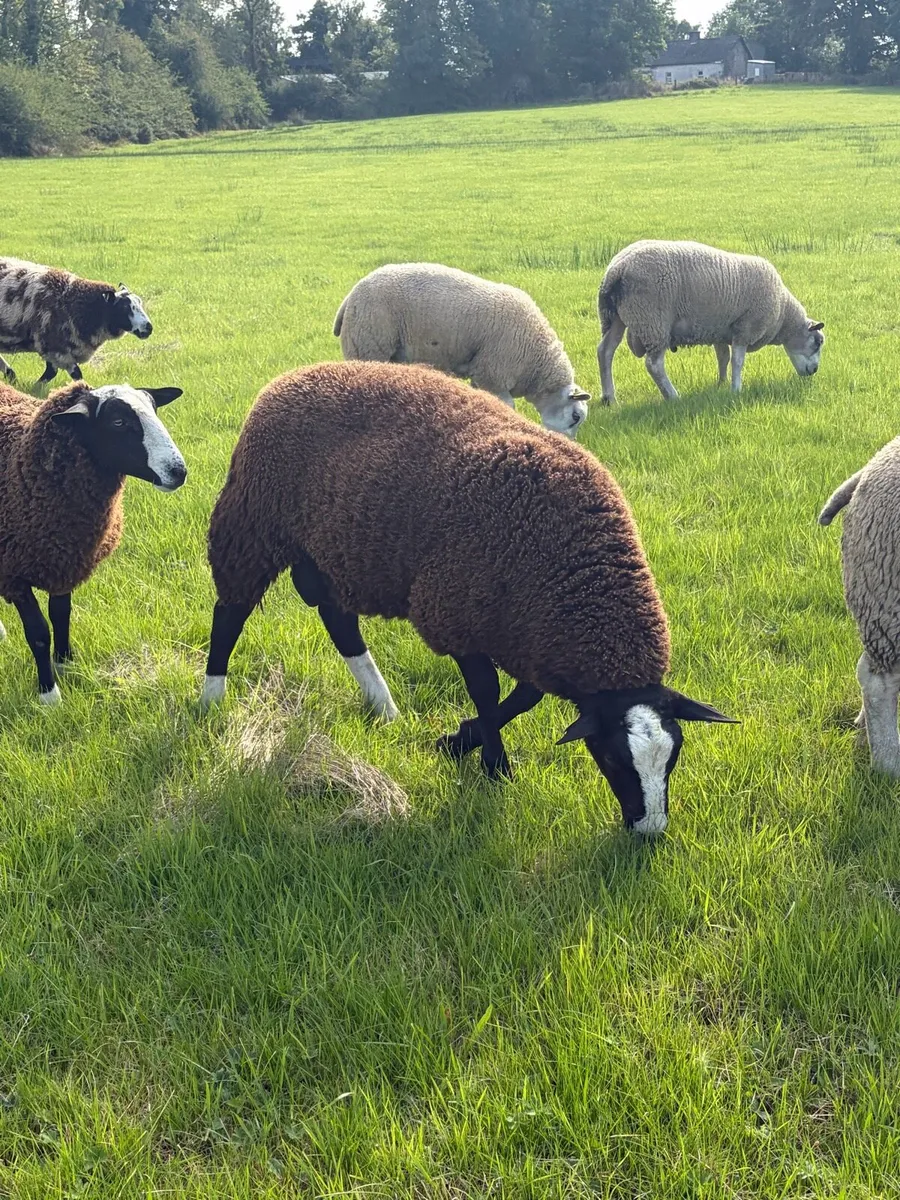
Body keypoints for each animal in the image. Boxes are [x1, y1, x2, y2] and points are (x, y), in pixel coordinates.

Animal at [0, 257, 153, 386]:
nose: (149, 327)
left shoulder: (55, 349)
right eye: (125, 307)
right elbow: (73, 374)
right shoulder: (56, 348)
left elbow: (51, 373)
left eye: (139, 302)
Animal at [0, 379, 186, 704]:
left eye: (154, 408)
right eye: (118, 422)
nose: (179, 472)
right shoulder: (15, 575)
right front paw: (49, 695)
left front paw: (65, 664)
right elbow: (38, 633)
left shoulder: (64, 560)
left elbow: (61, 615)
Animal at [200, 361, 735, 835]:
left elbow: (525, 696)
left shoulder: (526, 631)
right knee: (230, 614)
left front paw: (459, 741)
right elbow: (488, 692)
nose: (649, 830)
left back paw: (383, 705)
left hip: (332, 550)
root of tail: (293, 376)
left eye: (675, 754)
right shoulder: (456, 614)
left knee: (338, 619)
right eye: (608, 755)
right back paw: (212, 698)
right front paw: (493, 765)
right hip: (252, 523)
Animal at [333, 263, 592, 437]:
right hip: (368, 346)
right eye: (575, 417)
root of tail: (349, 298)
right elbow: (507, 407)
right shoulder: (493, 374)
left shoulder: (483, 376)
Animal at [597, 240, 825, 403]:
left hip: (616, 317)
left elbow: (723, 358)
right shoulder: (745, 328)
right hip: (653, 321)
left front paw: (720, 384)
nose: (814, 371)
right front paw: (736, 389)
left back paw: (609, 397)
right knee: (654, 365)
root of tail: (617, 269)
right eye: (817, 342)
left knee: (605, 351)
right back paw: (673, 396)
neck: (783, 312)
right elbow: (737, 362)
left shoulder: (721, 330)